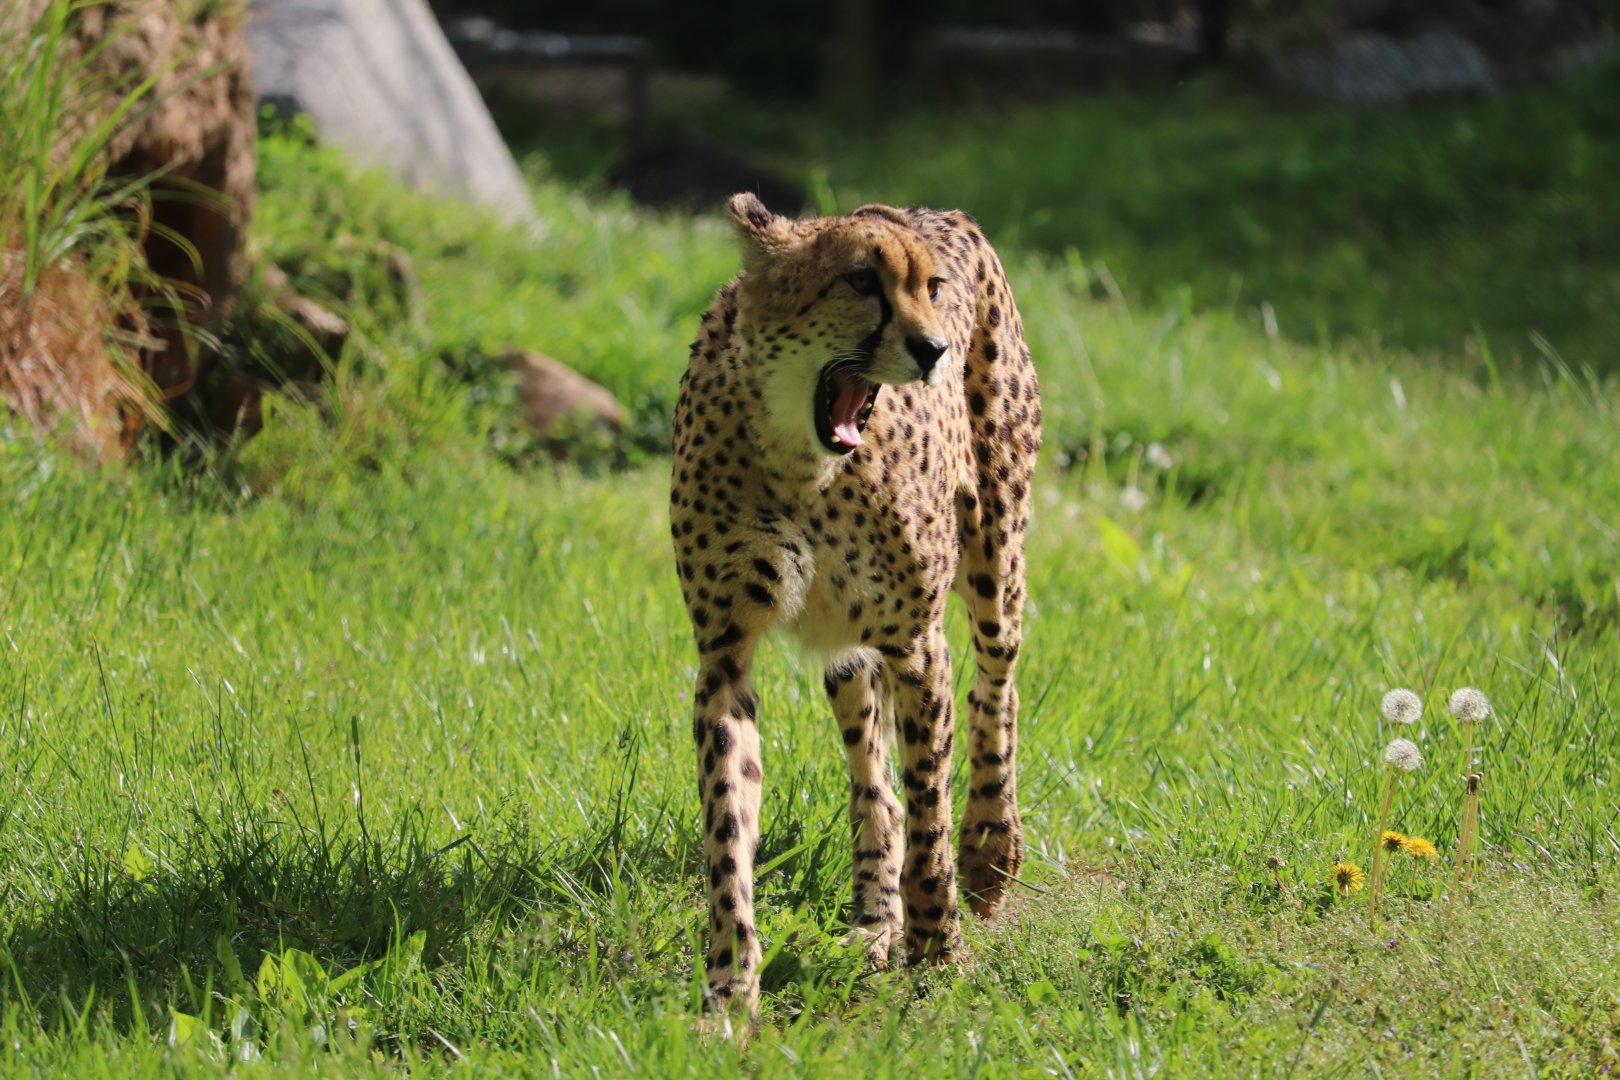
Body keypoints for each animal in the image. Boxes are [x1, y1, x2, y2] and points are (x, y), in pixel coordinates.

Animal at [669, 192, 1041, 1022]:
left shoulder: (916, 642)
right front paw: (729, 991)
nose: (934, 350)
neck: (801, 462)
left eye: (931, 288)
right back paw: (875, 924)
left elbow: (932, 811)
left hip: (995, 554)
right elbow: (729, 826)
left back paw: (990, 848)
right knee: (876, 791)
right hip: (845, 658)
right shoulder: (726, 654)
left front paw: (939, 953)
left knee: (996, 685)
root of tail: (940, 208)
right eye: (861, 281)